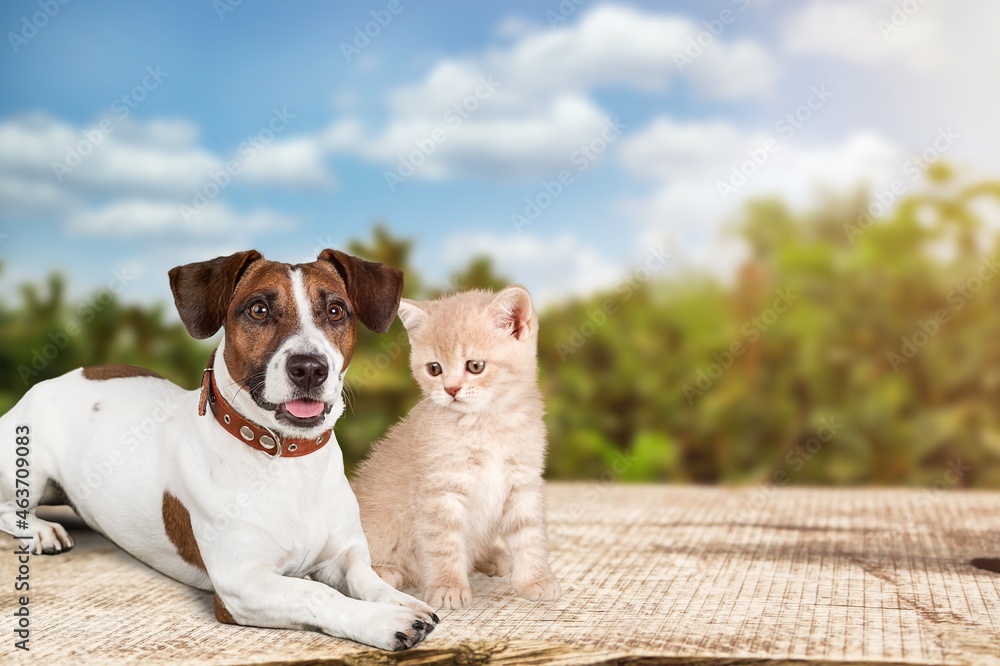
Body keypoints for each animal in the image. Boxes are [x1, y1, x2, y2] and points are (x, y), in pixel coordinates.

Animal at [0, 249, 442, 648]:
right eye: (259, 309)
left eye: (336, 311)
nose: (310, 368)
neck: (286, 458)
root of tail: (58, 378)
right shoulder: (241, 585)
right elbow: (317, 592)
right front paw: (382, 621)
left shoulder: (341, 555)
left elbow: (367, 578)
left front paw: (400, 602)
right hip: (28, 469)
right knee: (7, 509)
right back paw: (42, 530)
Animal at [350, 286, 564, 608]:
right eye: (434, 369)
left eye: (475, 366)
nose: (450, 389)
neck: (487, 425)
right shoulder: (440, 490)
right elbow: (444, 543)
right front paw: (447, 587)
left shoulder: (522, 482)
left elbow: (529, 534)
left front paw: (535, 580)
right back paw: (384, 572)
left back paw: (490, 557)